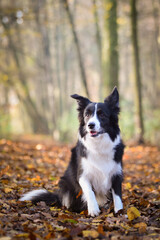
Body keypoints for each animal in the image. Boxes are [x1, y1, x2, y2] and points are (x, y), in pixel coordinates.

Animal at [20, 87, 124, 217]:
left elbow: (117, 196)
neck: (98, 145)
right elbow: (90, 192)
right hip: (64, 184)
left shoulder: (117, 174)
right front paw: (93, 209)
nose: (90, 125)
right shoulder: (82, 175)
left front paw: (119, 212)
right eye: (87, 115)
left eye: (102, 115)